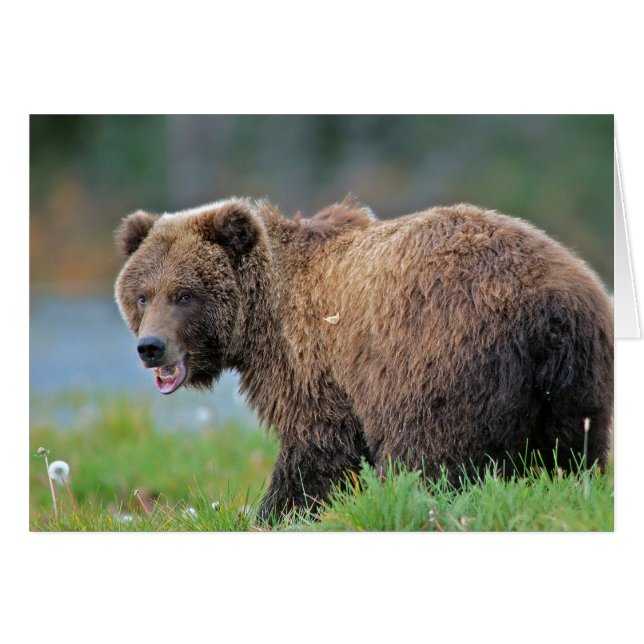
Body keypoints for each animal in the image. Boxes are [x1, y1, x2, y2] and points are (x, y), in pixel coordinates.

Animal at [114, 196, 614, 520]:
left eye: (184, 294)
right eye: (142, 295)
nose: (150, 346)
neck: (263, 317)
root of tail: (550, 303)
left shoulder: (311, 363)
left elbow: (317, 446)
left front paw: (274, 512)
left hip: (439, 357)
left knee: (427, 453)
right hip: (576, 378)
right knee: (574, 453)